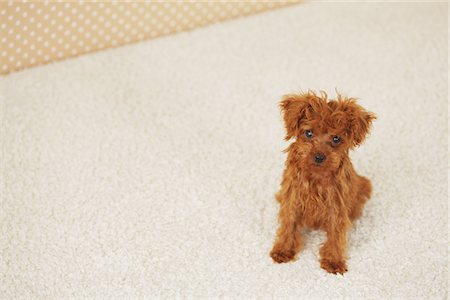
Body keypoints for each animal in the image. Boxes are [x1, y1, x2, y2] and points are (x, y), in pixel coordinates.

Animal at [270, 89, 376, 274]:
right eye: (309, 133)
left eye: (336, 139)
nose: (319, 157)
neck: (316, 176)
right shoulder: (292, 198)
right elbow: (288, 224)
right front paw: (283, 250)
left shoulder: (336, 206)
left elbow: (335, 233)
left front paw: (333, 260)